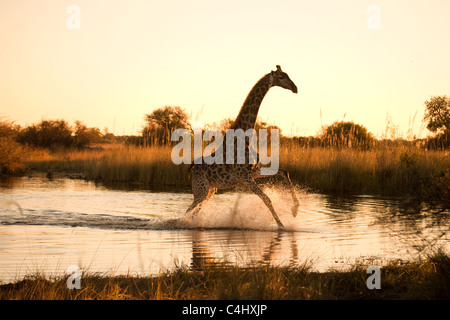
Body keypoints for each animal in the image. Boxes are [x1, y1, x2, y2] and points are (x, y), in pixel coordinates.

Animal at [185, 65, 298, 230]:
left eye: (288, 75)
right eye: (282, 77)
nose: (295, 88)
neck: (246, 136)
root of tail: (192, 169)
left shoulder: (251, 172)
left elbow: (284, 171)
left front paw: (295, 210)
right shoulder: (244, 177)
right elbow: (266, 198)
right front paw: (281, 225)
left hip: (210, 191)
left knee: (192, 211)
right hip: (202, 190)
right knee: (188, 211)